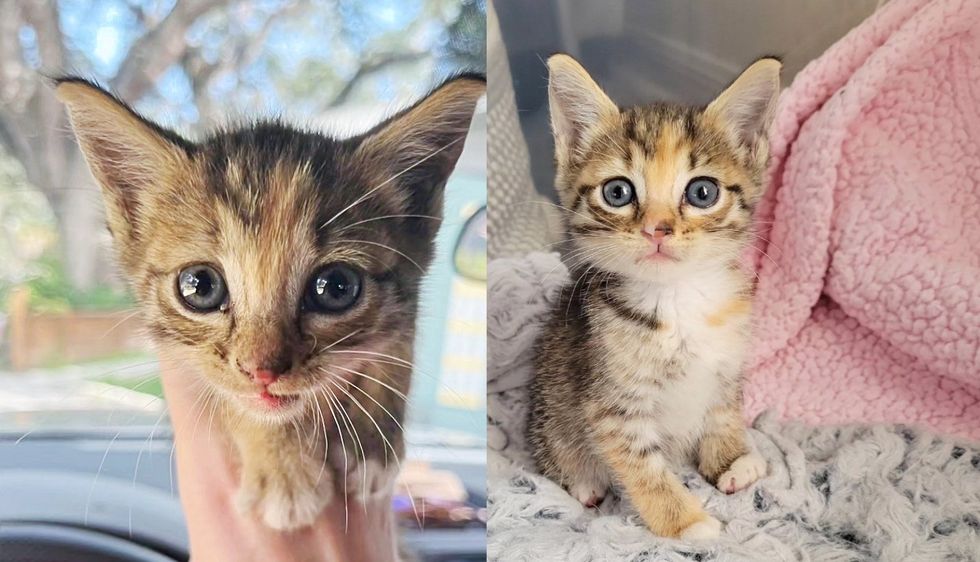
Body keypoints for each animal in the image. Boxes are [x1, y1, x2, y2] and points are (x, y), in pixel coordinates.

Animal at [55, 72, 484, 528]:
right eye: (200, 286)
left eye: (336, 286)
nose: (263, 371)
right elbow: (231, 399)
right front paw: (284, 474)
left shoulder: (406, 302)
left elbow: (396, 352)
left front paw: (372, 446)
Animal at [528, 55, 780, 540]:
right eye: (617, 192)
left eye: (702, 192)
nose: (657, 229)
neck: (678, 301)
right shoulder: (612, 405)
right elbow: (645, 469)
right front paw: (687, 523)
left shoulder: (727, 365)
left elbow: (723, 410)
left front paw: (732, 460)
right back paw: (582, 483)